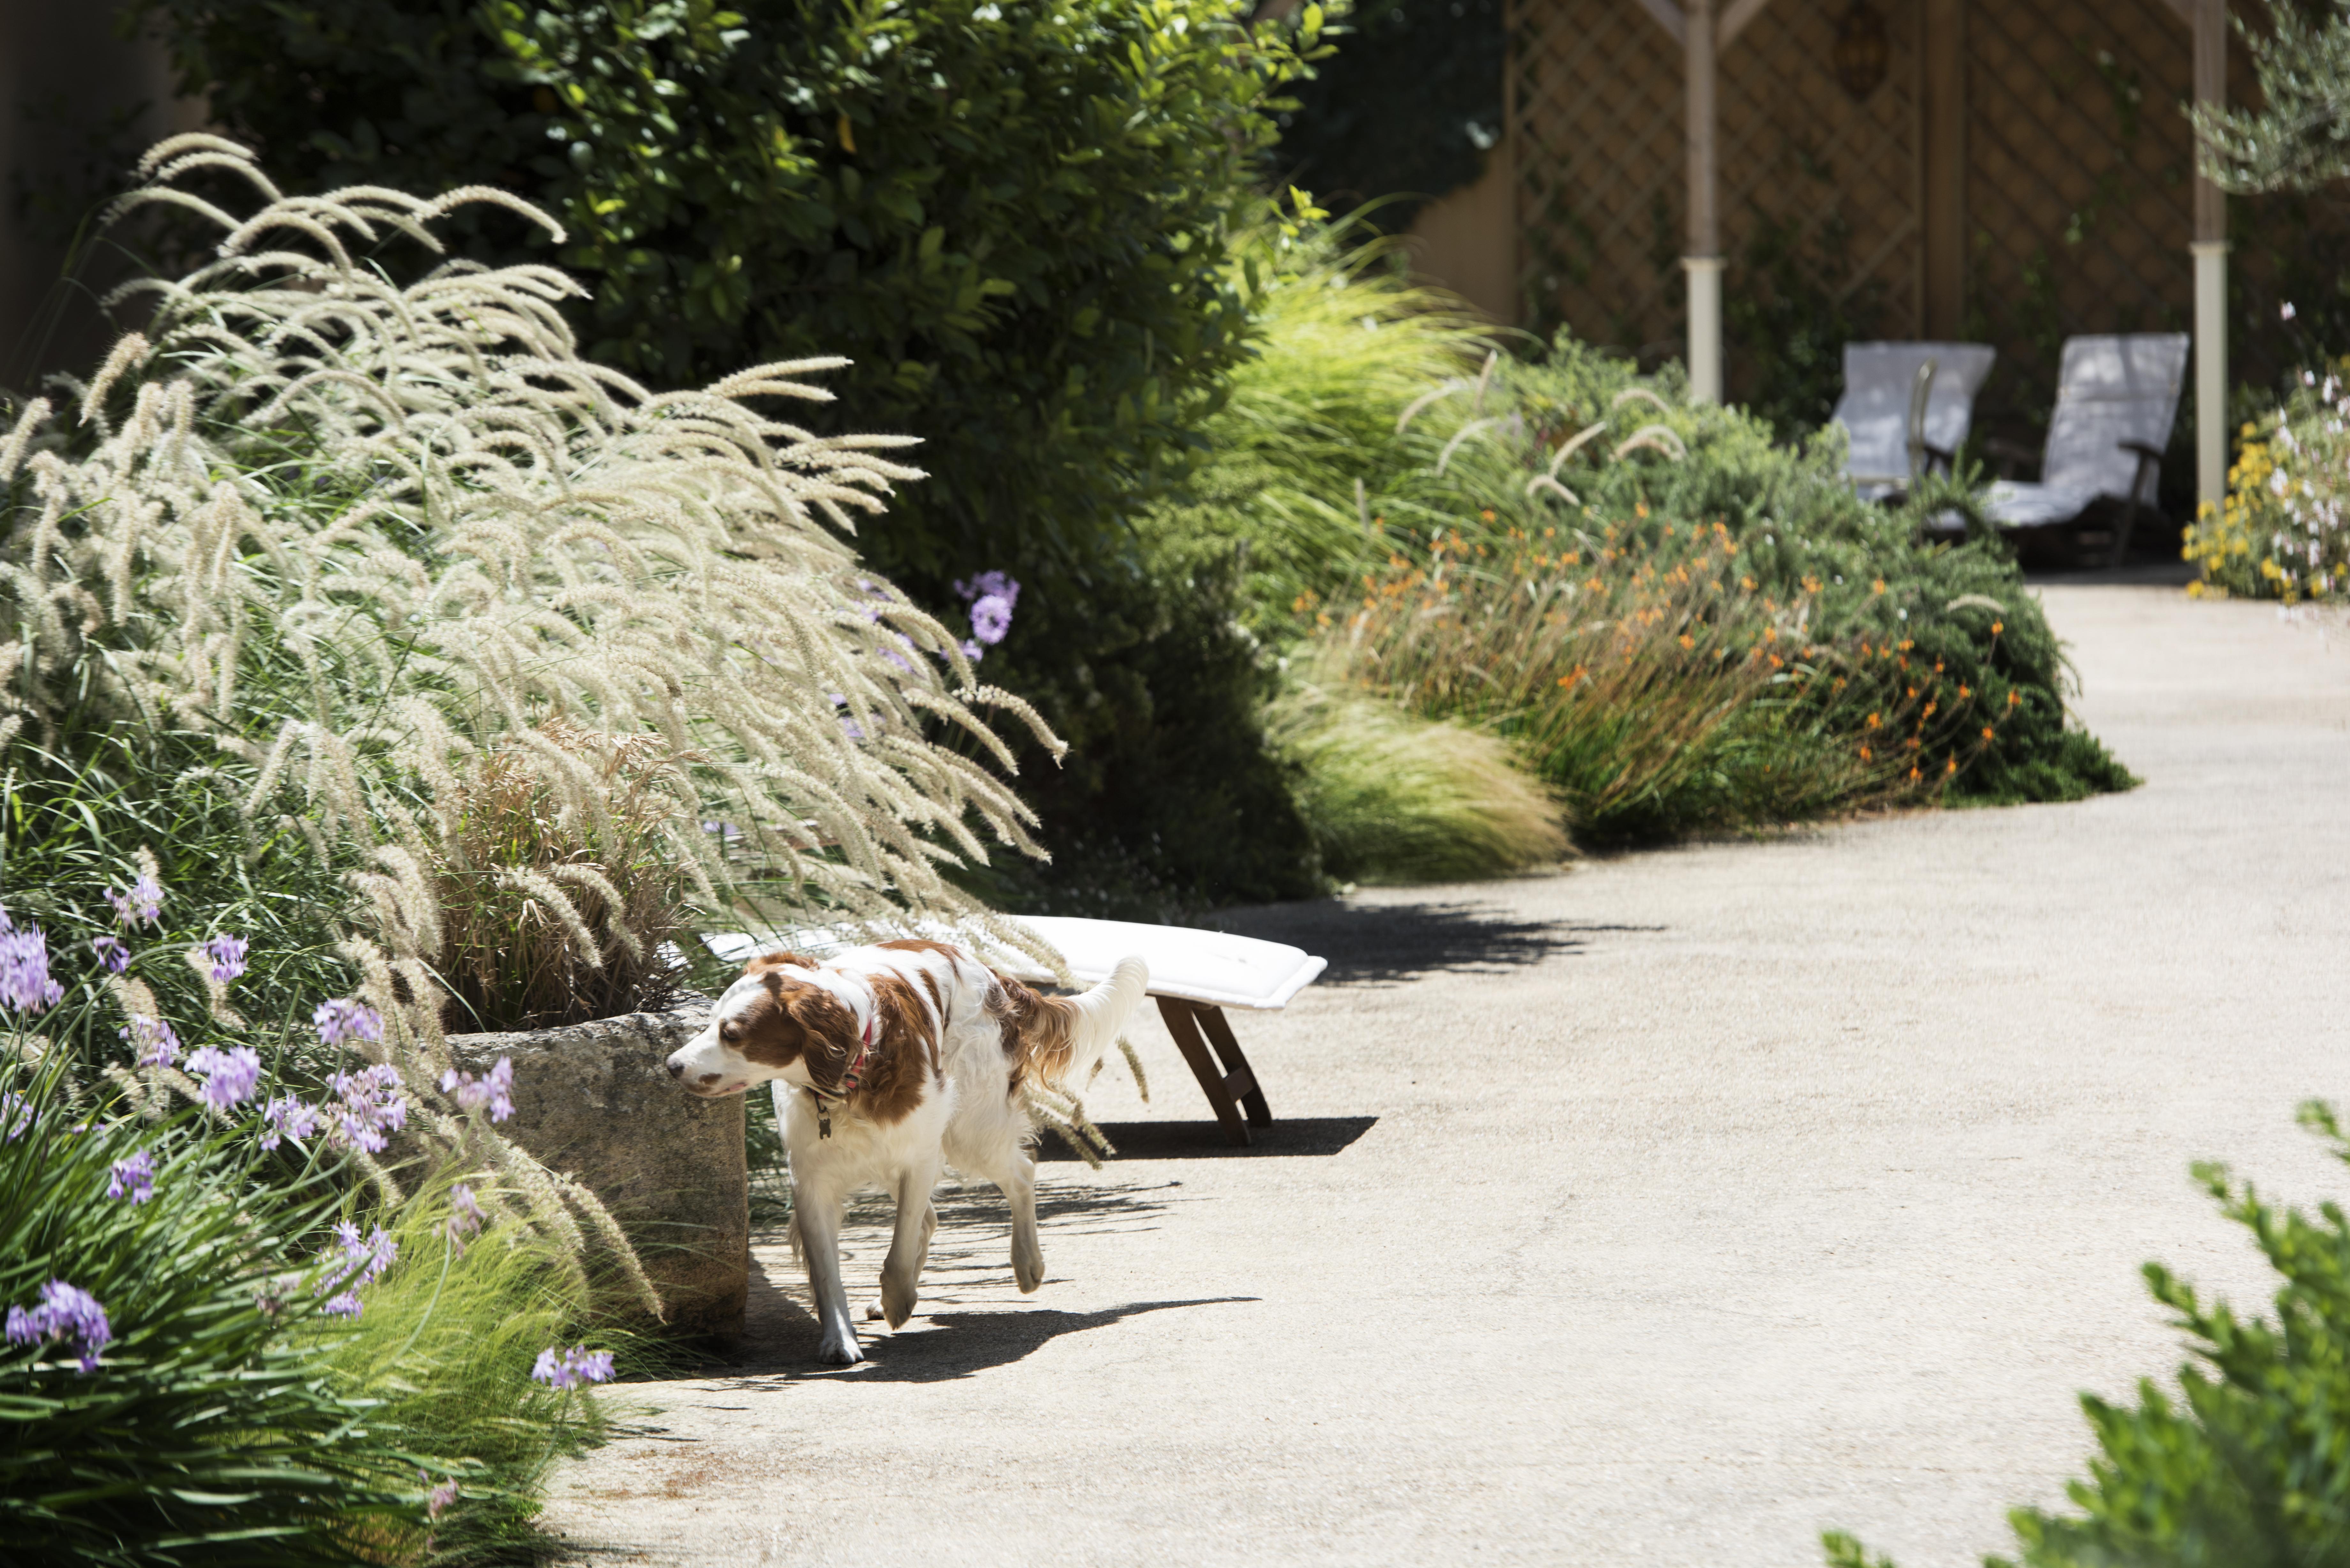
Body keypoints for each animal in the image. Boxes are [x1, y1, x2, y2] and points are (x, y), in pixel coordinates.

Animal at [663, 940, 1147, 1363]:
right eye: (709, 1022)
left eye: (732, 1034)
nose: (671, 1066)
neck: (849, 1074)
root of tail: (992, 975)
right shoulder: (811, 1180)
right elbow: (829, 1270)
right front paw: (839, 1339)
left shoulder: (919, 1156)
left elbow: (897, 1253)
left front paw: (898, 1300)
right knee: (933, 1218)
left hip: (971, 1132)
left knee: (1021, 1174)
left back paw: (1027, 1263)